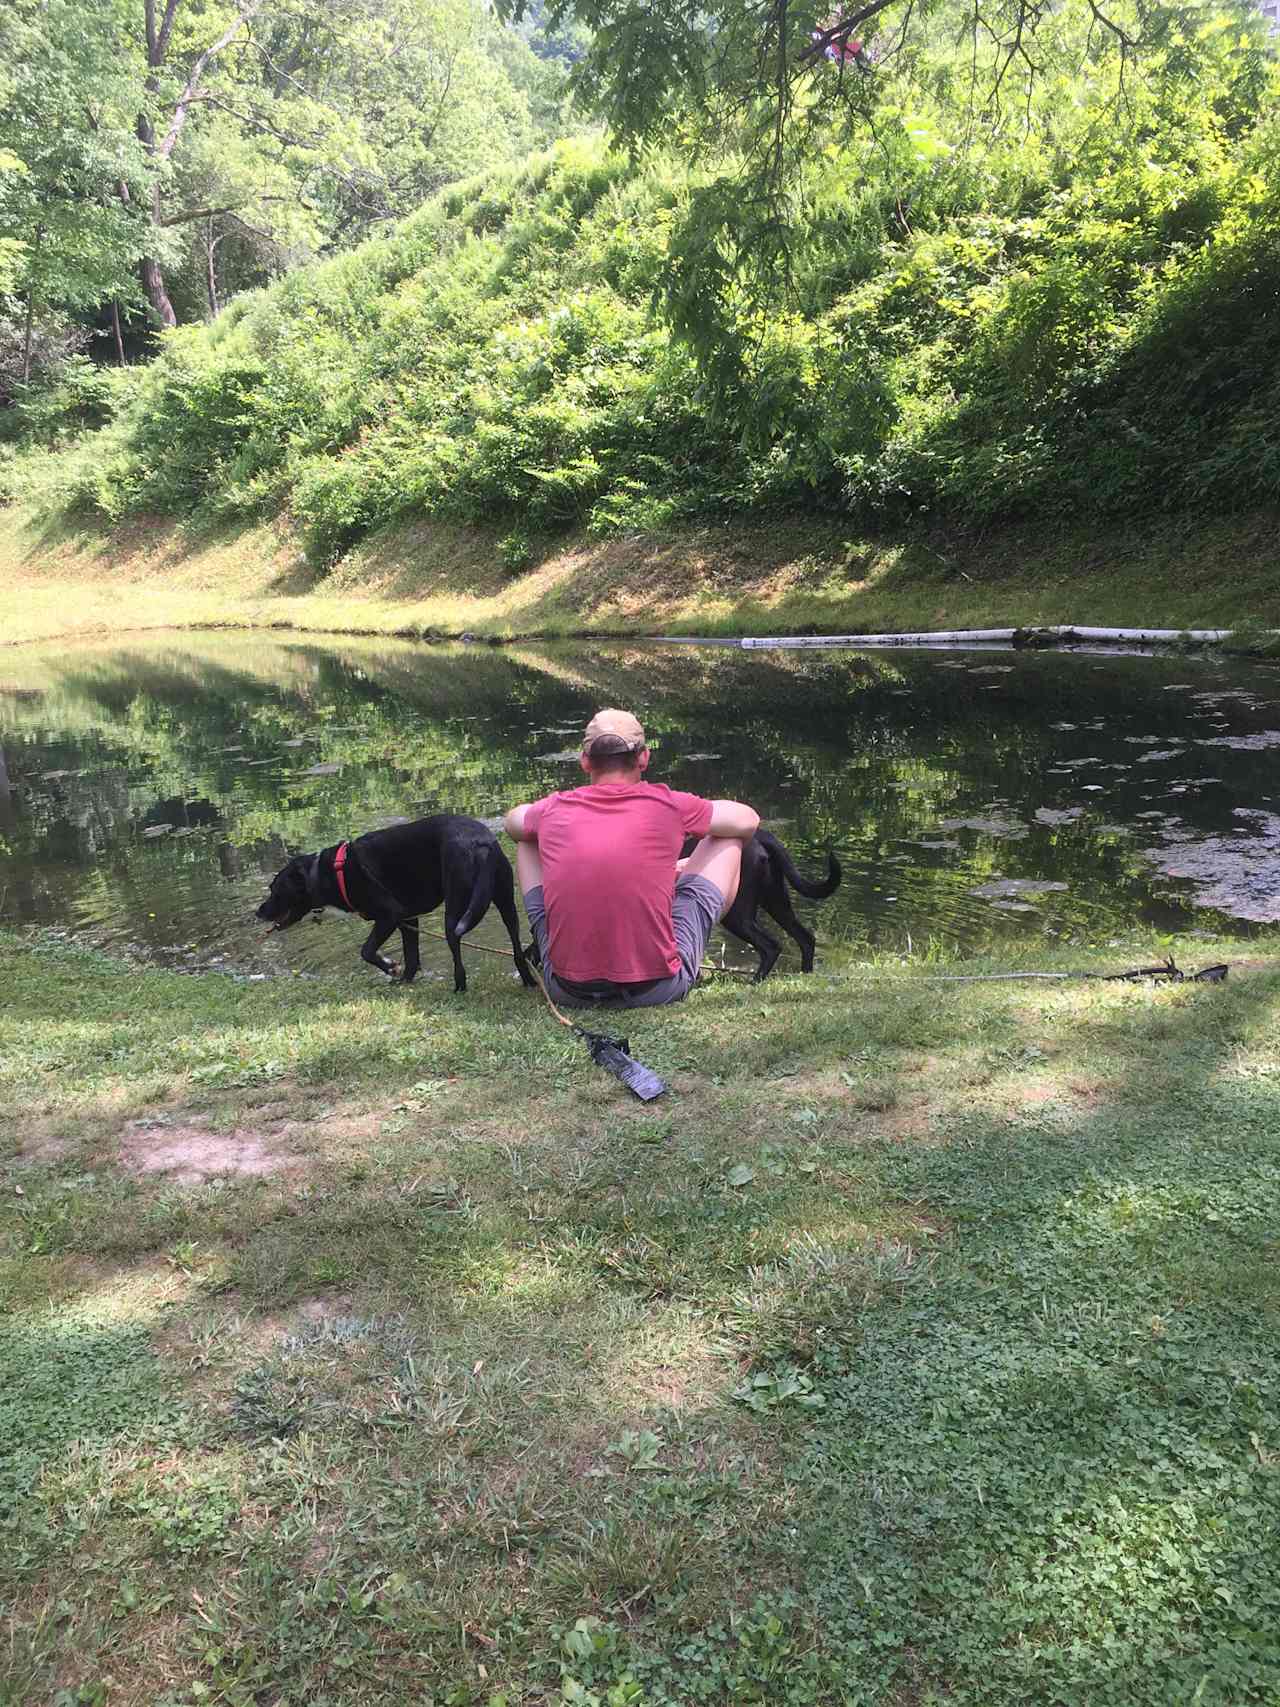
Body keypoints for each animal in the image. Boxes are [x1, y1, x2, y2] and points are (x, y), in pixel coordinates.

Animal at [256, 809, 535, 990]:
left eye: (274, 889)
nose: (258, 912)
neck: (330, 872)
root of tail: (482, 843)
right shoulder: (408, 918)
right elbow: (411, 957)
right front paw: (404, 981)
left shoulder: (390, 915)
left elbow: (367, 950)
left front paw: (390, 967)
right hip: (506, 902)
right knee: (517, 947)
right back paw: (529, 981)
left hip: (455, 913)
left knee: (458, 956)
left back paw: (459, 987)